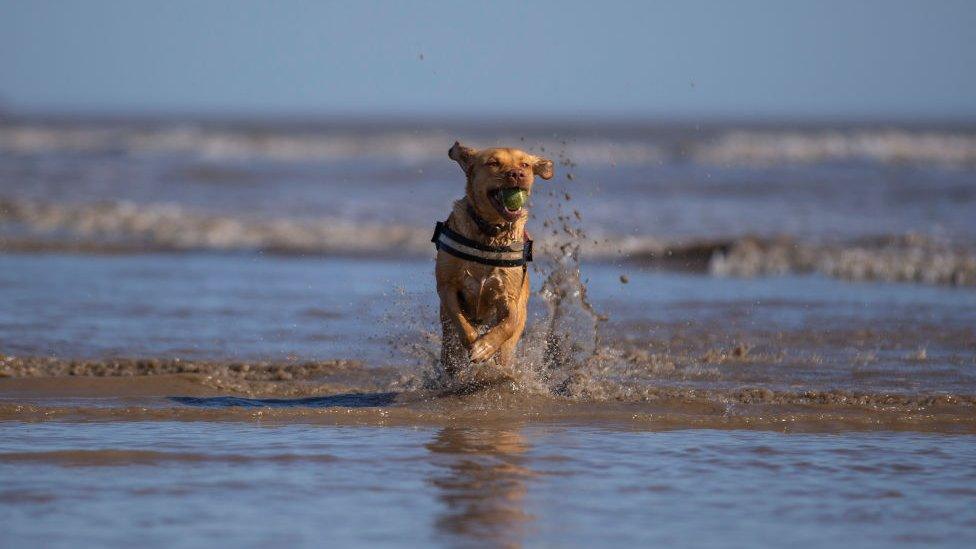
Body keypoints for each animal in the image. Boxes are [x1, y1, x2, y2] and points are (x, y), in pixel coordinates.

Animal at [436, 139, 556, 384]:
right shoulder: (447, 287)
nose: (517, 174)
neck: (490, 232)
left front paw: (485, 347)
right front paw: (476, 344)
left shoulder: (509, 296)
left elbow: (508, 323)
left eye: (525, 164)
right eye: (493, 163)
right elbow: (460, 320)